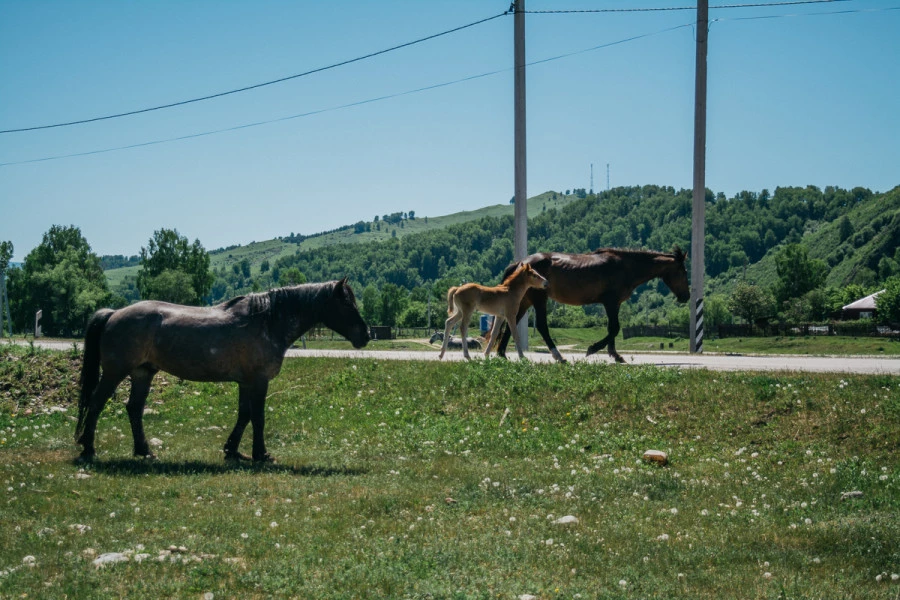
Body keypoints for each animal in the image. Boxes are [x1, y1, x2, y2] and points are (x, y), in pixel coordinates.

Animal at [74, 280, 370, 464]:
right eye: (346, 304)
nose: (366, 335)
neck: (267, 320)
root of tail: (114, 313)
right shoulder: (258, 381)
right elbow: (258, 418)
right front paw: (261, 454)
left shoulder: (246, 383)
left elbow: (244, 415)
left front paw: (233, 451)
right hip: (115, 373)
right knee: (96, 404)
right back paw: (89, 448)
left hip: (142, 373)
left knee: (134, 409)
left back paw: (144, 451)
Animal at [496, 247, 692, 360]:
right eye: (683, 272)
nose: (686, 296)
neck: (625, 267)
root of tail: (520, 263)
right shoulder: (610, 302)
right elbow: (614, 328)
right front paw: (593, 349)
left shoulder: (615, 304)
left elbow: (612, 328)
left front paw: (615, 354)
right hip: (538, 299)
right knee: (542, 326)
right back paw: (558, 355)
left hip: (525, 301)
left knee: (511, 323)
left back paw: (502, 353)